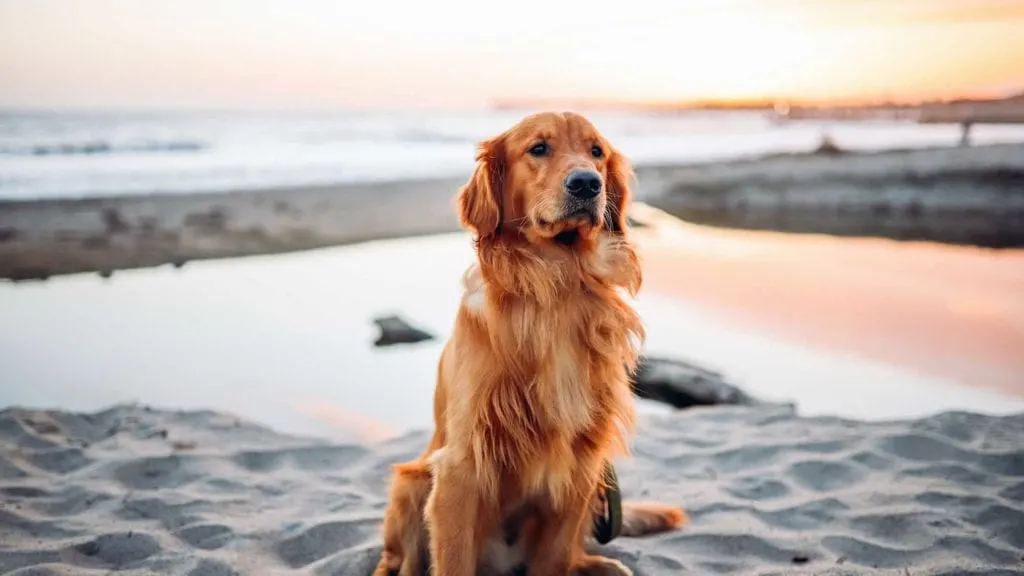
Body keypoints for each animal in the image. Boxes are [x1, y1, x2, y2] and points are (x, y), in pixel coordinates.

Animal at [372, 112, 684, 573]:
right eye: (538, 148)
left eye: (597, 152)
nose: (587, 183)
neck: (558, 284)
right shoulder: (461, 465)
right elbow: (453, 558)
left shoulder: (580, 463)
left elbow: (555, 557)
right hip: (410, 485)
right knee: (399, 559)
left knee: (574, 554)